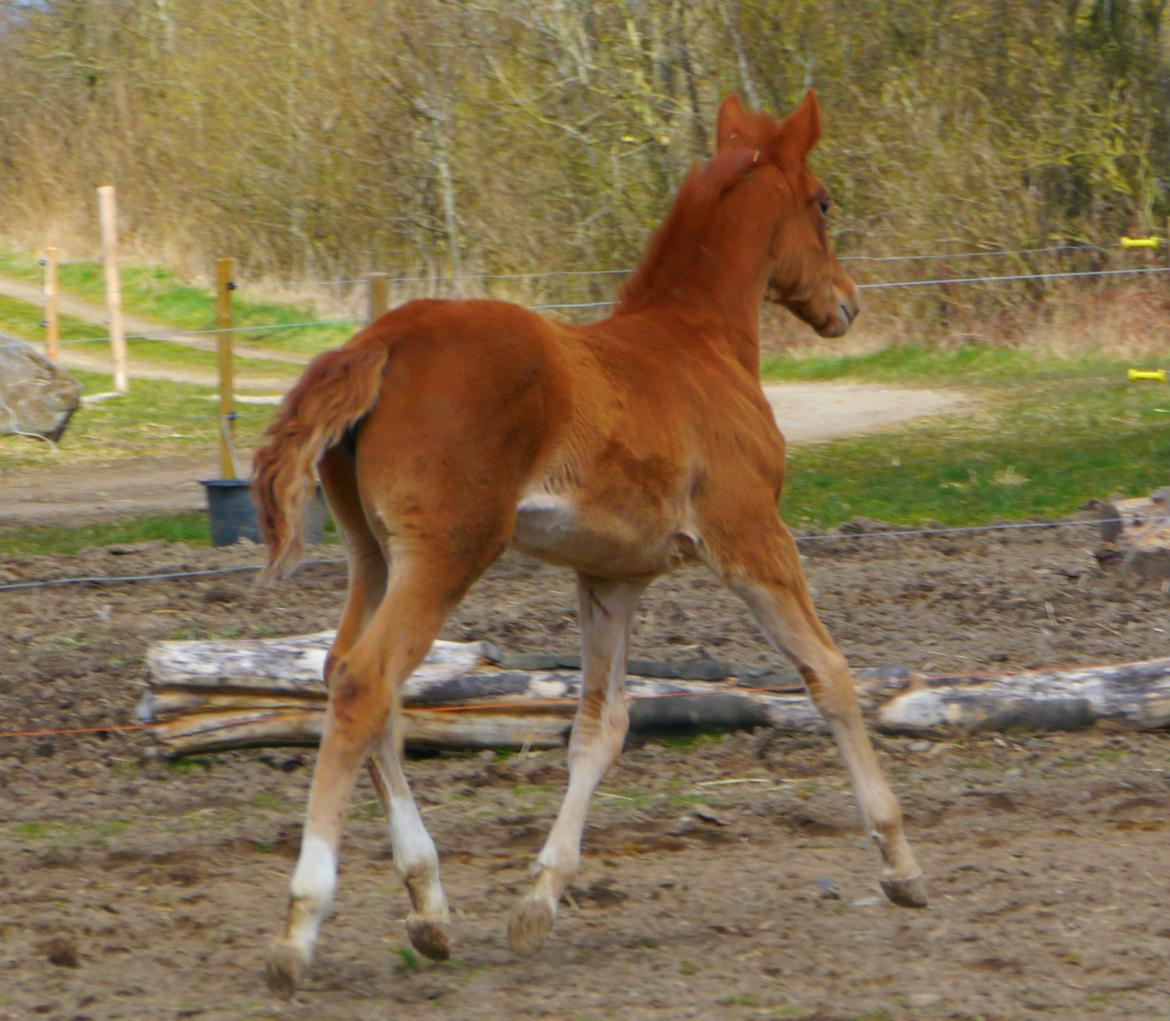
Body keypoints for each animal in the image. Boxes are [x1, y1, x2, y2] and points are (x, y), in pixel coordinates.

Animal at [253, 91, 921, 1001]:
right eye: (822, 202)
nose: (846, 303)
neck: (698, 345)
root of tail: (378, 341)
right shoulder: (752, 538)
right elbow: (830, 673)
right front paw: (898, 860)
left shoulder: (611, 577)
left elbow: (601, 727)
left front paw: (539, 899)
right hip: (447, 552)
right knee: (366, 681)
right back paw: (301, 925)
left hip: (376, 554)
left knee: (347, 677)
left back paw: (429, 906)